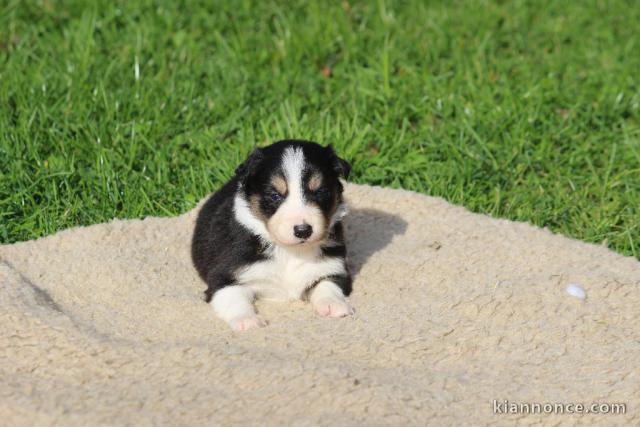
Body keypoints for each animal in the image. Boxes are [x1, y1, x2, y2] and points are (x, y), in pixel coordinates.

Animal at [192, 140, 352, 332]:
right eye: (275, 195)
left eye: (319, 192)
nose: (303, 230)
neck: (289, 251)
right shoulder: (224, 276)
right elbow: (233, 299)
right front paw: (248, 321)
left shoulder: (335, 267)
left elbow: (327, 284)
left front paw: (333, 305)